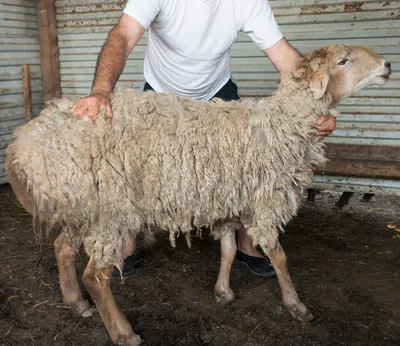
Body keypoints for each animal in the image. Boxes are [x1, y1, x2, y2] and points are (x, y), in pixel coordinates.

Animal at [5, 44, 390, 344]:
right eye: (343, 61)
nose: (387, 65)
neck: (281, 125)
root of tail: (23, 143)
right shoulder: (264, 204)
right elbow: (279, 256)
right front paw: (296, 305)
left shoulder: (230, 202)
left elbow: (229, 250)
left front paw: (223, 292)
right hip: (110, 211)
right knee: (95, 275)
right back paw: (123, 332)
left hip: (80, 205)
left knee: (62, 249)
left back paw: (76, 302)